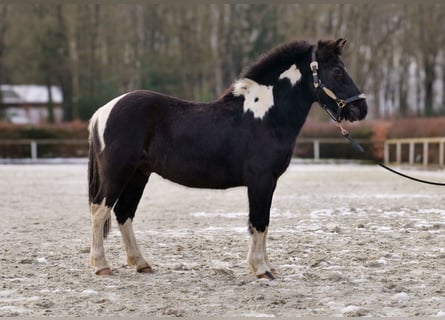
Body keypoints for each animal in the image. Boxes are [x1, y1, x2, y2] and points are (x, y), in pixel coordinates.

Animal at [87, 37, 368, 278]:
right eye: (337, 71)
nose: (361, 109)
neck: (265, 116)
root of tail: (103, 111)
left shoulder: (269, 182)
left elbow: (263, 222)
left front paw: (265, 267)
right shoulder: (260, 180)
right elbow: (259, 221)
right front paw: (261, 269)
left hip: (138, 175)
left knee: (124, 213)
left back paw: (141, 263)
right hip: (118, 174)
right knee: (100, 211)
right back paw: (101, 266)